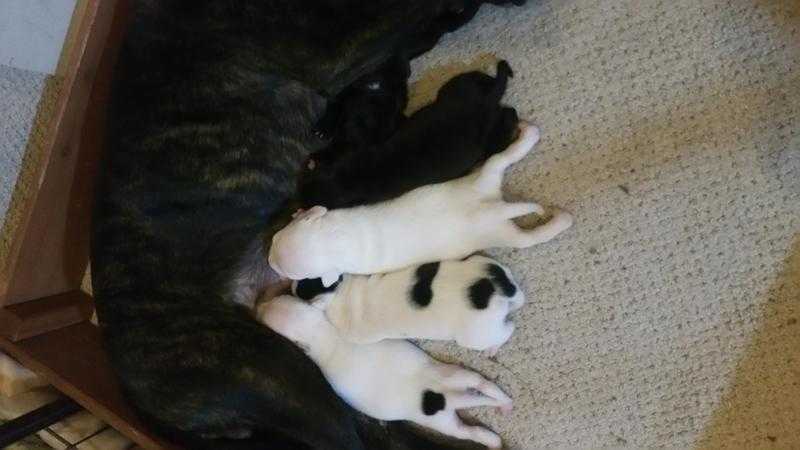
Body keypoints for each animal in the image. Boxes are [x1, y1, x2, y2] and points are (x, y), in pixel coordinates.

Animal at [260, 296, 516, 450]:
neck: (319, 332)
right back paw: (501, 414)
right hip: (449, 394)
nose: (260, 303)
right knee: (478, 402)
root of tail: (441, 397)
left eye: (266, 312)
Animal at [268, 121, 576, 286]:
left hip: (501, 232)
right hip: (485, 177)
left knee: (532, 238)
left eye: (284, 268)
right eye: (275, 240)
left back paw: (562, 220)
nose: (269, 260)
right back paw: (528, 135)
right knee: (502, 159)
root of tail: (492, 208)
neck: (335, 239)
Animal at [294, 255, 524, 354]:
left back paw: (493, 348)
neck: (340, 292)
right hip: (486, 263)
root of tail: (497, 286)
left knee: (509, 329)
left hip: (477, 336)